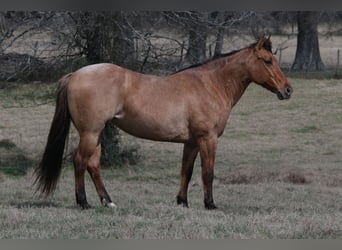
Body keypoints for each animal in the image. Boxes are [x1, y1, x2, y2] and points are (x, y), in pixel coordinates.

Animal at [34, 36, 292, 209]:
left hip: (95, 134)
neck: (210, 85)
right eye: (268, 61)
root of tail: (76, 75)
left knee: (93, 165)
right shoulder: (208, 139)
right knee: (80, 162)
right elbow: (207, 172)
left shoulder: (192, 142)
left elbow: (186, 171)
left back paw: (108, 202)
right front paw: (210, 204)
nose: (288, 90)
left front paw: (182, 202)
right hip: (90, 132)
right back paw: (84, 202)